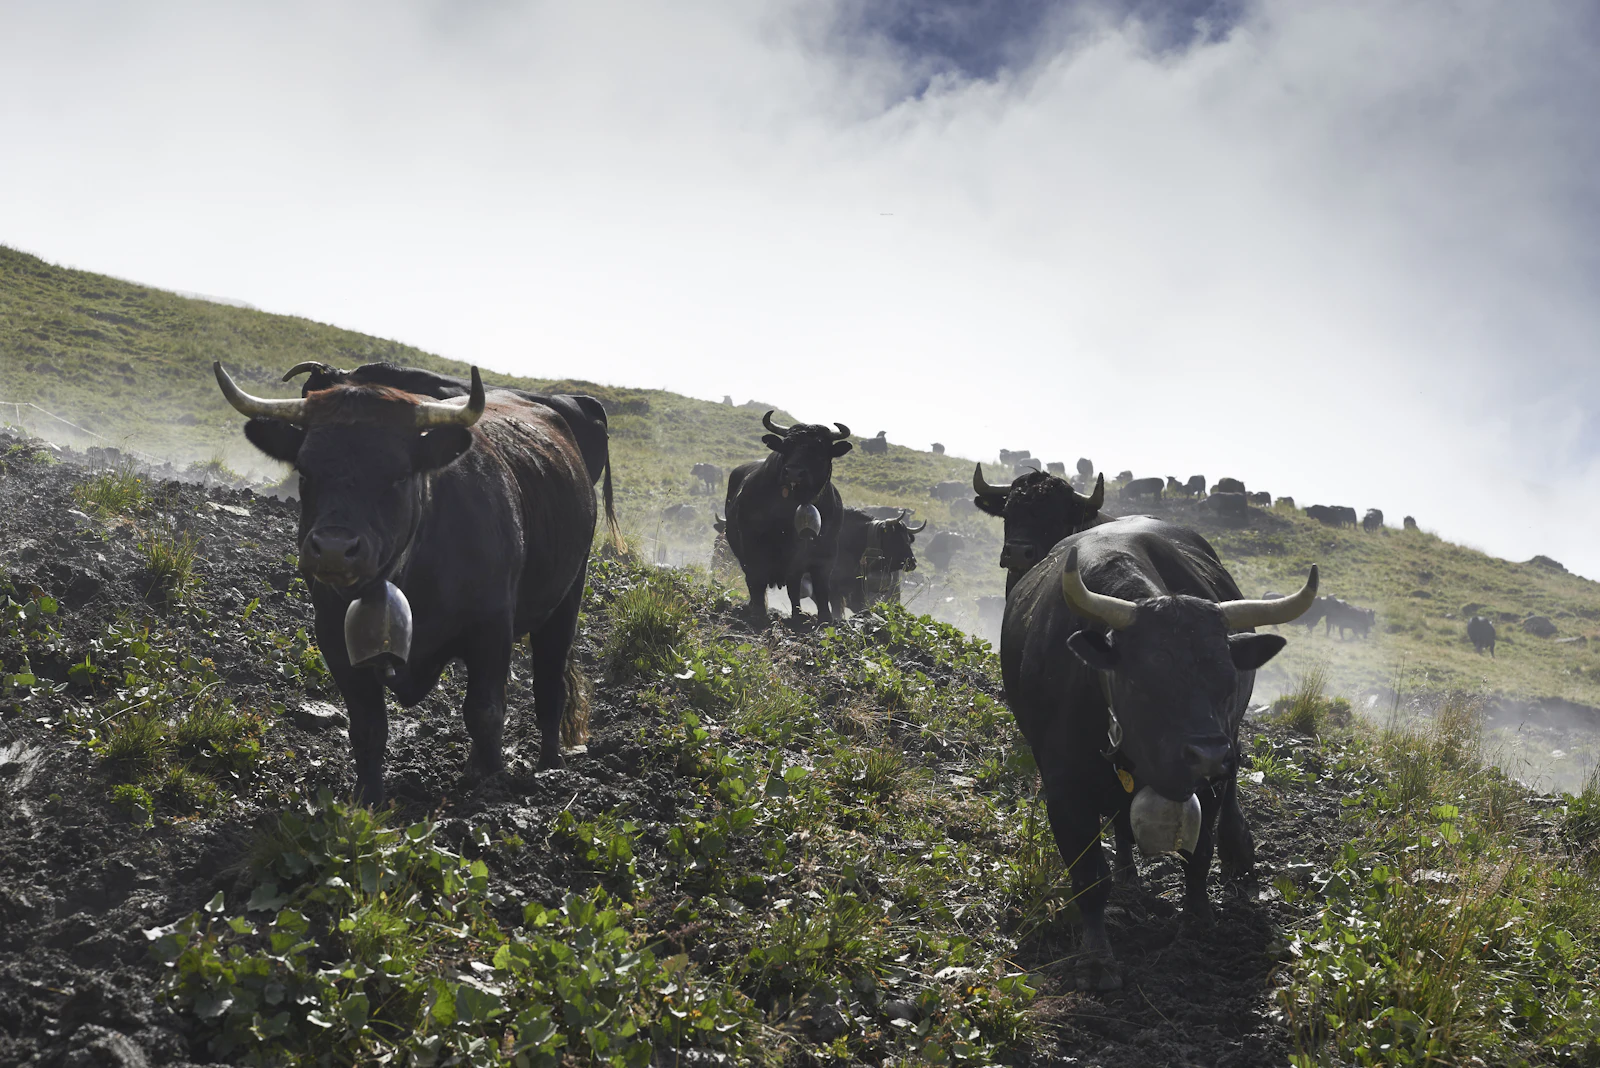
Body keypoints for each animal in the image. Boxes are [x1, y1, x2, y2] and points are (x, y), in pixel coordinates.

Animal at [215, 362, 616, 806]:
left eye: (399, 475)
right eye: (304, 469)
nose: (334, 549)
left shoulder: (491, 627)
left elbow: (485, 712)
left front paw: (494, 783)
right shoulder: (334, 636)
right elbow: (368, 726)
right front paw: (368, 797)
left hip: (566, 599)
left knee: (549, 685)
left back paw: (549, 764)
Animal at [724, 411, 853, 624]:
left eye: (819, 449)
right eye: (787, 445)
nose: (793, 472)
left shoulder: (825, 550)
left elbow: (816, 585)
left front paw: (820, 617)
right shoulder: (752, 542)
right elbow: (757, 578)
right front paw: (759, 614)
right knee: (752, 579)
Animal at [1001, 517, 1316, 989]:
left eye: (1228, 679)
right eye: (1143, 681)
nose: (1209, 755)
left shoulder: (1208, 783)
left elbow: (1199, 855)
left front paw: (1198, 920)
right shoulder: (1064, 793)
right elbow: (1089, 877)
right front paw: (1097, 959)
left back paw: (1237, 851)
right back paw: (1128, 876)